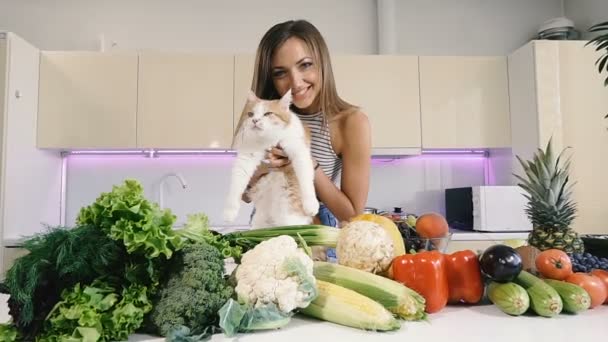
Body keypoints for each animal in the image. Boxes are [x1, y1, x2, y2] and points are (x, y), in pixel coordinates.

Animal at [222, 89, 318, 228]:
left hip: (290, 219)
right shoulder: (245, 159)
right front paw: (229, 212)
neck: (267, 140)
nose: (255, 120)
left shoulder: (299, 152)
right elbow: (236, 186)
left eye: (267, 114)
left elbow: (306, 180)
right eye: (250, 114)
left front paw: (311, 205)